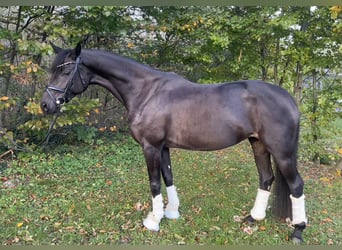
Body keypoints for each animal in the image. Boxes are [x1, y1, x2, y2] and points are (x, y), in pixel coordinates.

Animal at [40, 43, 308, 244]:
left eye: (65, 72)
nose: (45, 105)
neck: (147, 92)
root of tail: (288, 99)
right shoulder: (163, 146)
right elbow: (168, 177)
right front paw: (171, 212)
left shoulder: (150, 146)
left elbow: (154, 182)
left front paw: (153, 220)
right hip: (258, 144)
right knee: (266, 178)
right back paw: (252, 219)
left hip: (282, 153)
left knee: (296, 185)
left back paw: (297, 231)